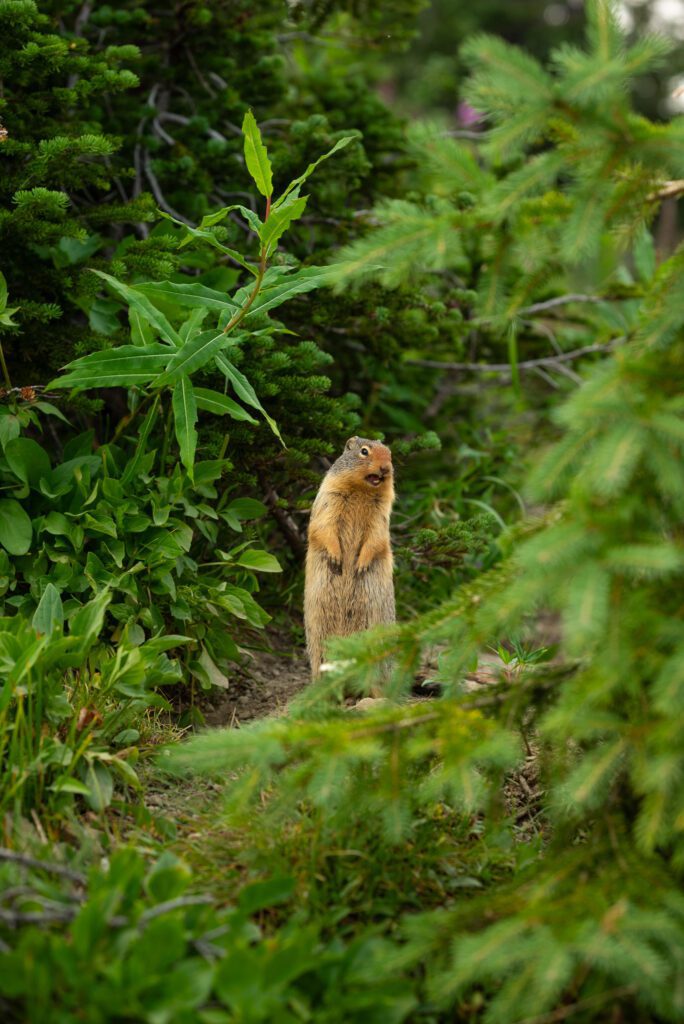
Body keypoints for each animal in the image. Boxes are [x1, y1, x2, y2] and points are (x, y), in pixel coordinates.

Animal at [304, 435, 395, 678]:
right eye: (364, 451)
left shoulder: (381, 515)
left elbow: (376, 538)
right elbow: (324, 527)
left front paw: (360, 565)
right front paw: (337, 559)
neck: (362, 490)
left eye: (390, 454)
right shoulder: (329, 498)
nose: (386, 468)